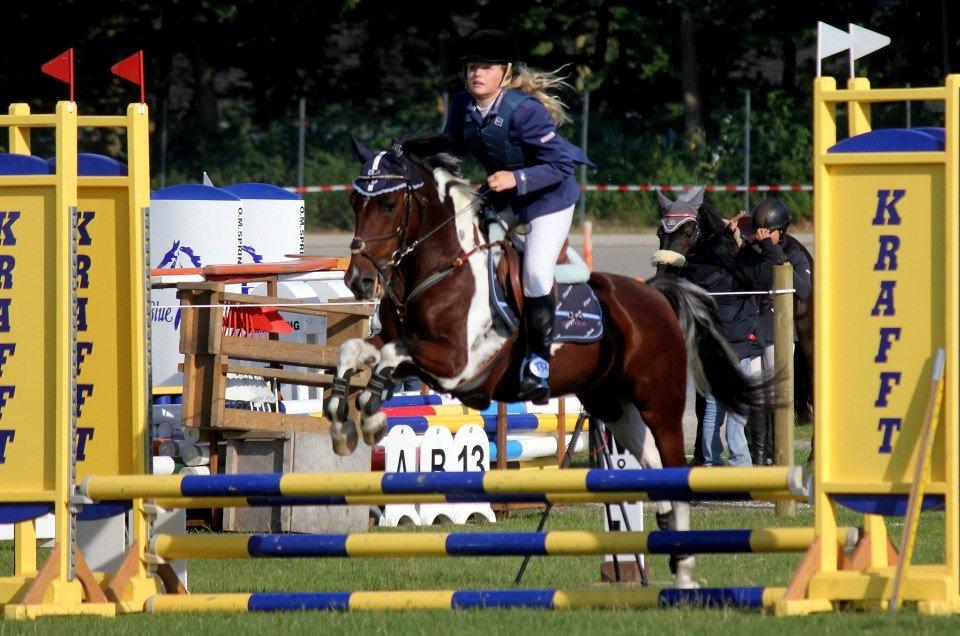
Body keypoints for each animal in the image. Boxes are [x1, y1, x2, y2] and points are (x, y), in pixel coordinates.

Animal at [325, 132, 766, 588]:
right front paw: (343, 423)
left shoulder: (457, 366)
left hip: (659, 402)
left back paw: (684, 575)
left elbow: (389, 357)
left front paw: (372, 419)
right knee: (655, 469)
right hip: (614, 405)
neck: (442, 267)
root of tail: (656, 294)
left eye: (389, 205)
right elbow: (354, 351)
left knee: (675, 470)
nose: (358, 280)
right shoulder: (411, 348)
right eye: (355, 203)